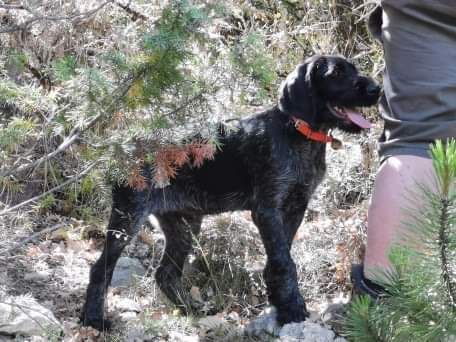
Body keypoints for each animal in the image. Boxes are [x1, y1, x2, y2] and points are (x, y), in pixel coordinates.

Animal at [82, 54, 382, 330]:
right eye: (336, 74)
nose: (377, 89)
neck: (300, 133)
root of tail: (120, 152)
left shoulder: (296, 206)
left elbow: (281, 253)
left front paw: (277, 298)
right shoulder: (267, 209)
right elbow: (285, 262)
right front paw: (291, 308)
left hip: (184, 225)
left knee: (166, 273)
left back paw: (192, 311)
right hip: (129, 217)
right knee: (101, 268)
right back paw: (93, 319)